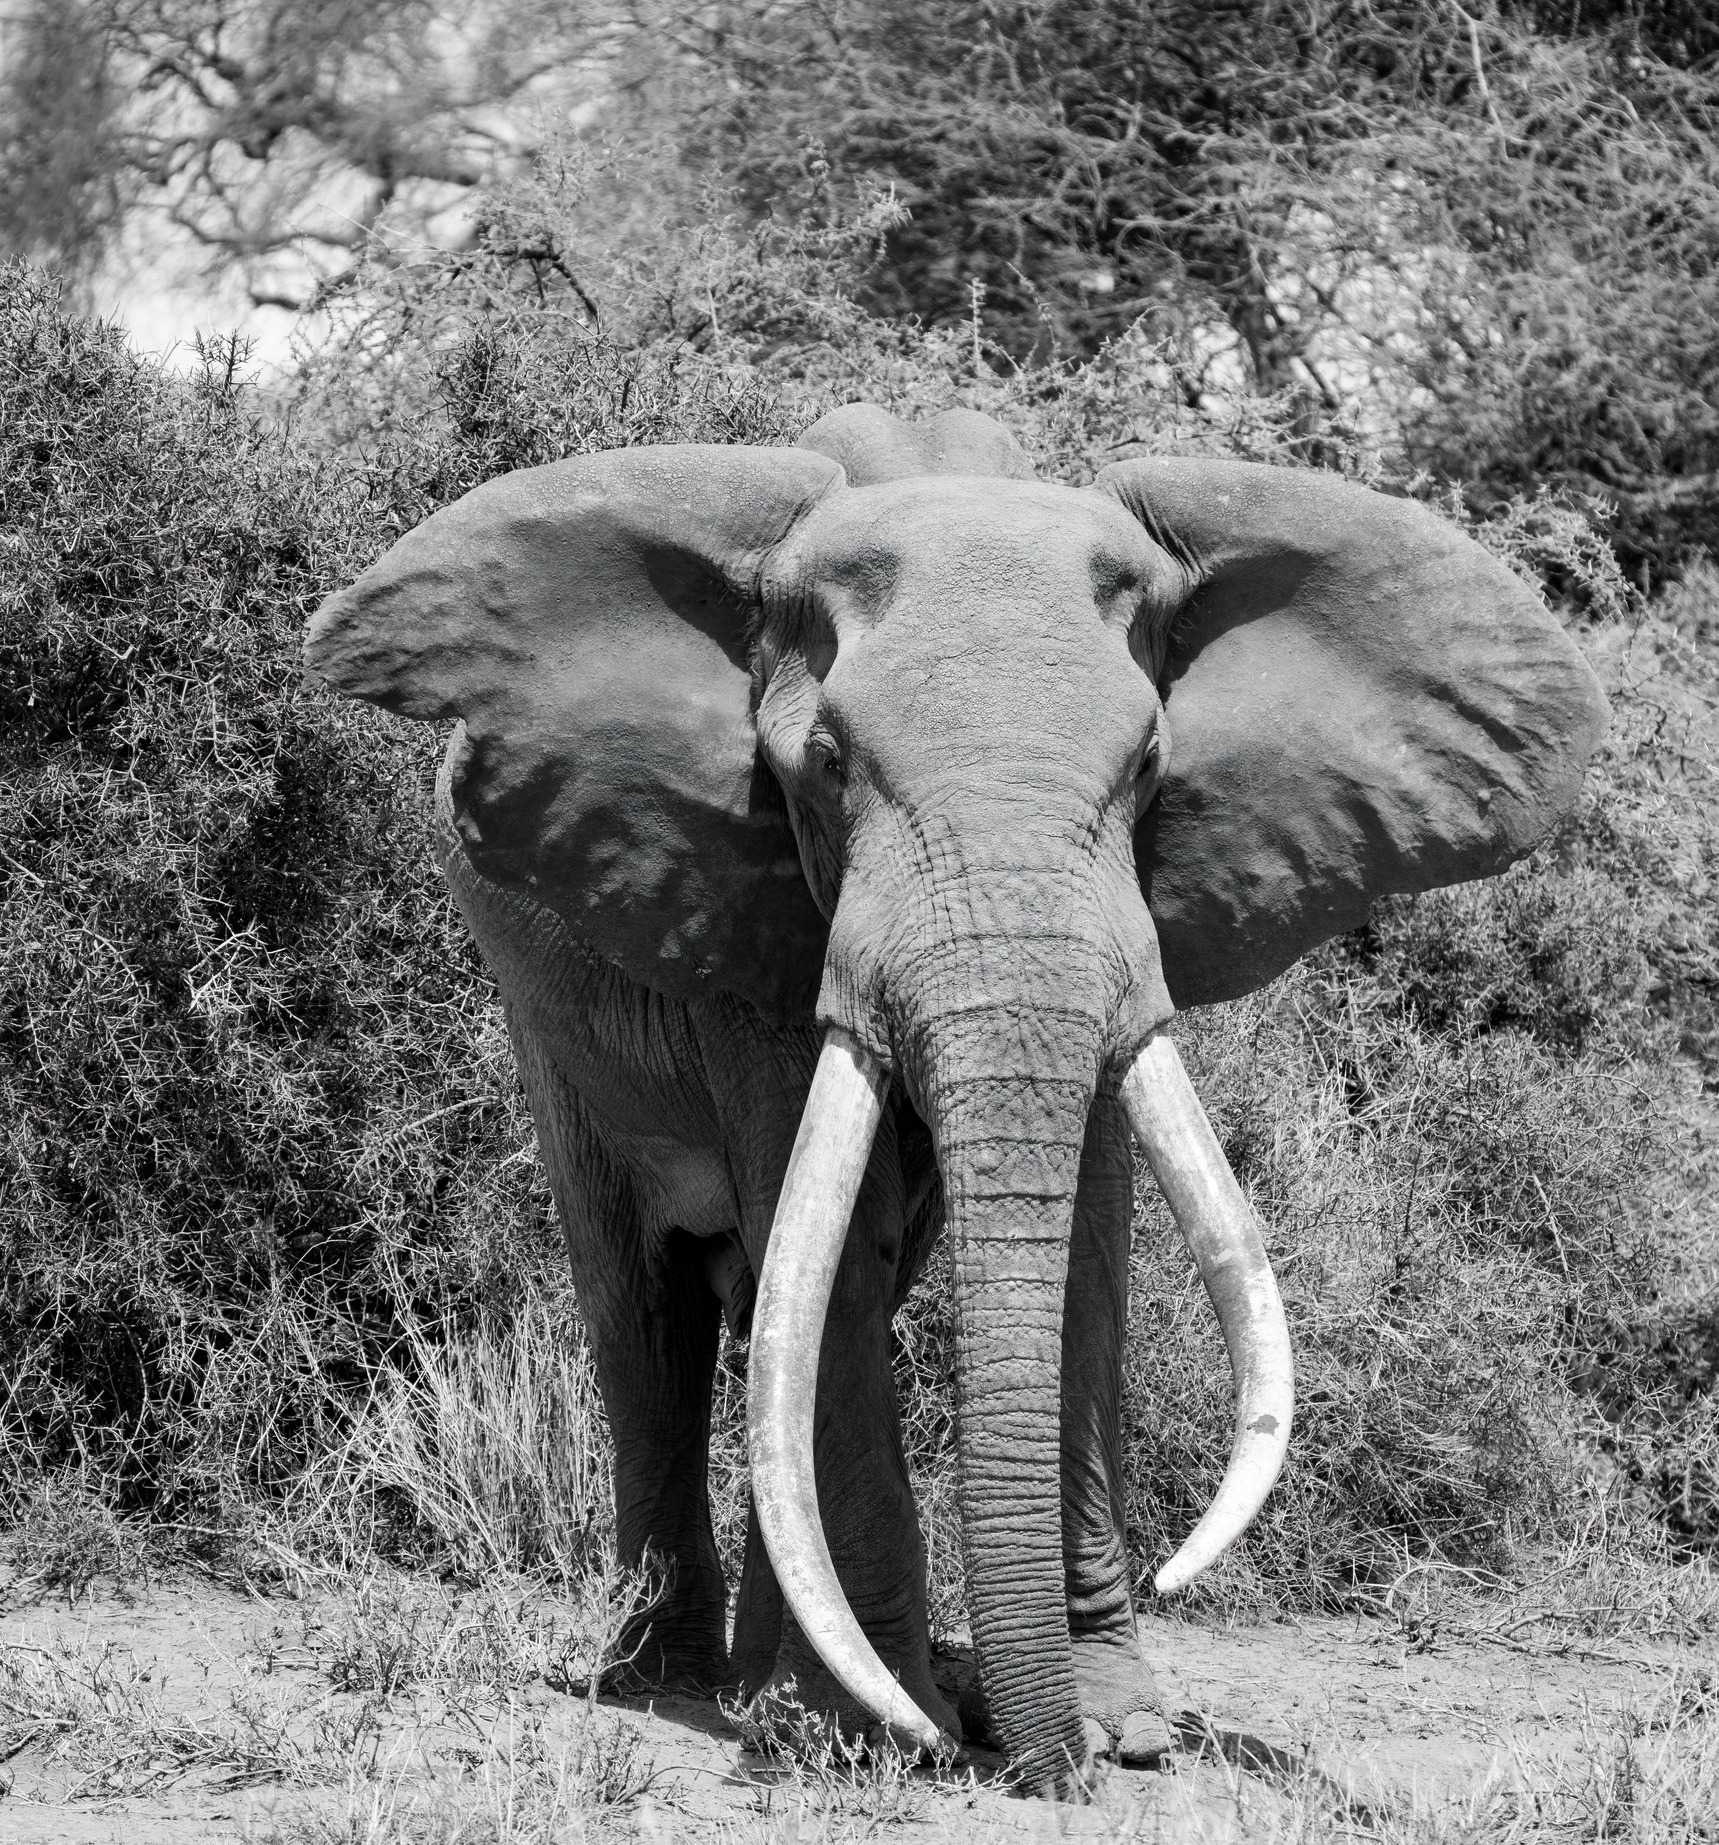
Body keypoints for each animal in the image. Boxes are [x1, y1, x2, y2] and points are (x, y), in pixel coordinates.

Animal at [304, 403, 1606, 1797]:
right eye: (824, 764)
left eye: (1151, 763)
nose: (1048, 1770)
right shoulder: (756, 913)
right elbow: (833, 1246)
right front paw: (883, 1737)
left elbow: (1083, 1244)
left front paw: (1113, 1735)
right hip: (545, 1015)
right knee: (652, 1303)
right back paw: (675, 1683)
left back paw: (773, 1688)